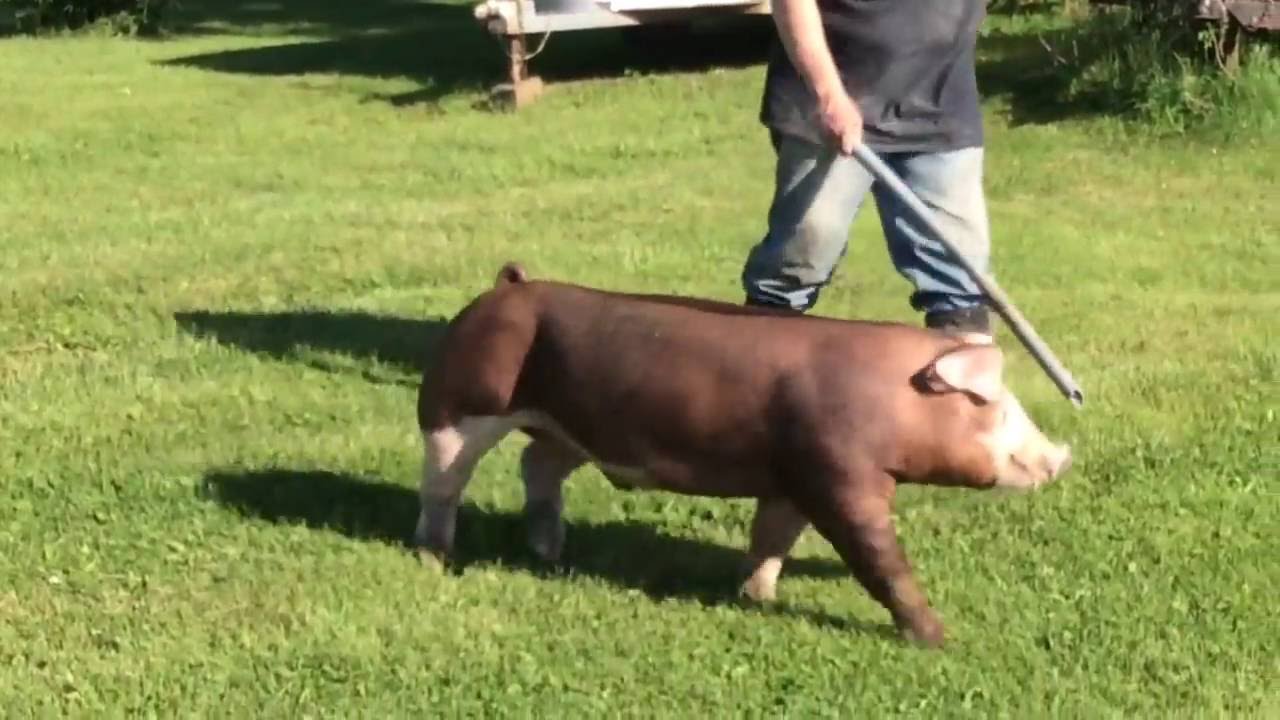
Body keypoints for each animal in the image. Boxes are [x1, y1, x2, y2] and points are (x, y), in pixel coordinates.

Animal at [414, 262, 1073, 648]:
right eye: (993, 406)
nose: (1060, 457)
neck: (889, 397)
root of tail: (508, 287)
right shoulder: (839, 476)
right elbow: (880, 561)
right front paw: (939, 638)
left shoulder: (790, 480)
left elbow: (772, 539)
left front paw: (757, 599)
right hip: (458, 404)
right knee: (444, 480)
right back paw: (435, 558)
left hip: (563, 428)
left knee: (538, 466)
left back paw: (549, 554)